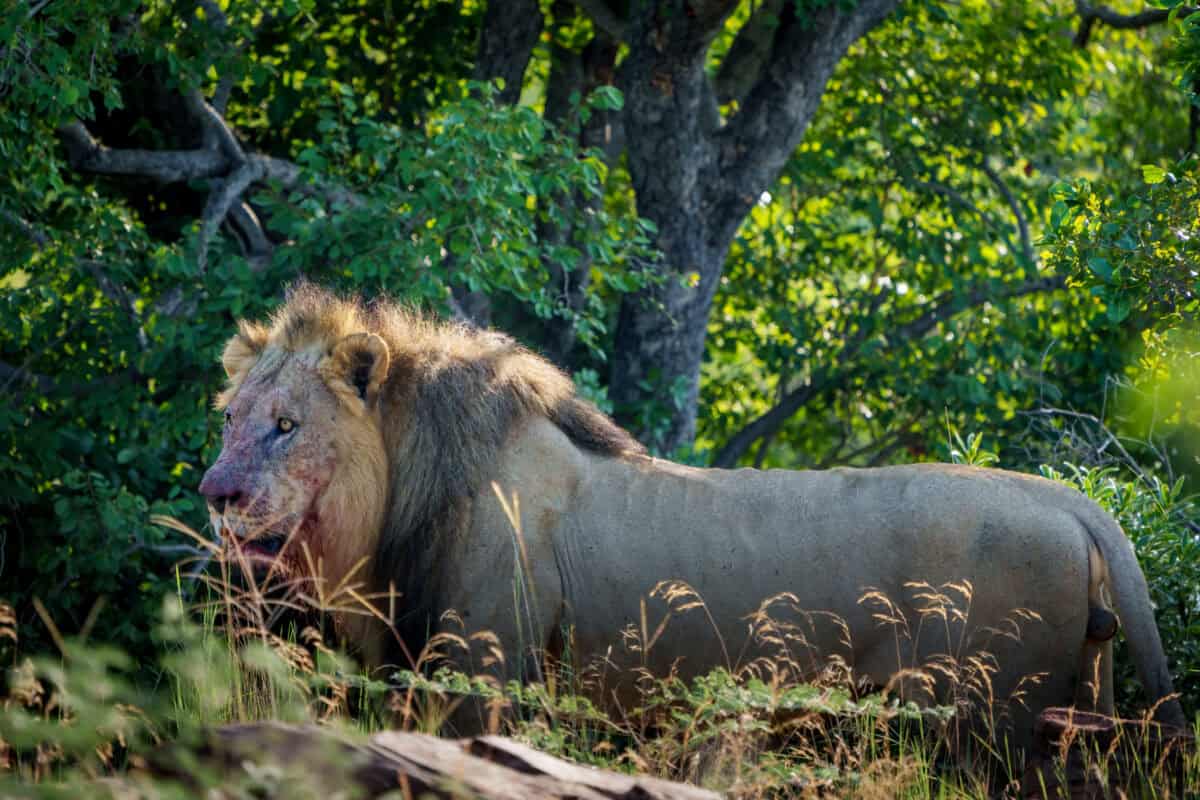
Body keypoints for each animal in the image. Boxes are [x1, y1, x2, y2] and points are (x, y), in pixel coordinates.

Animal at [201, 286, 1185, 753]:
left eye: (286, 426)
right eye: (231, 417)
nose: (216, 492)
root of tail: (1071, 499)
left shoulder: (483, 676)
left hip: (991, 721)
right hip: (1073, 711)